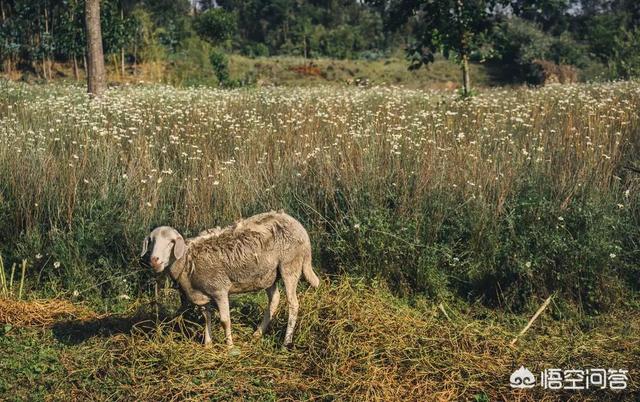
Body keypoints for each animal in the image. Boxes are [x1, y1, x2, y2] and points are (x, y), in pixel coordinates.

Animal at [141, 212, 320, 348]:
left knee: (293, 304)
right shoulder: (202, 292)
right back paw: (257, 333)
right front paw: (208, 344)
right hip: (268, 275)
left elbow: (224, 320)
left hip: (290, 264)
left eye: (171, 242)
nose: (154, 261)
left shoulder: (219, 289)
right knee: (274, 299)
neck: (187, 261)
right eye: (151, 241)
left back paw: (286, 341)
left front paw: (229, 346)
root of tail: (298, 226)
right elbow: (207, 318)